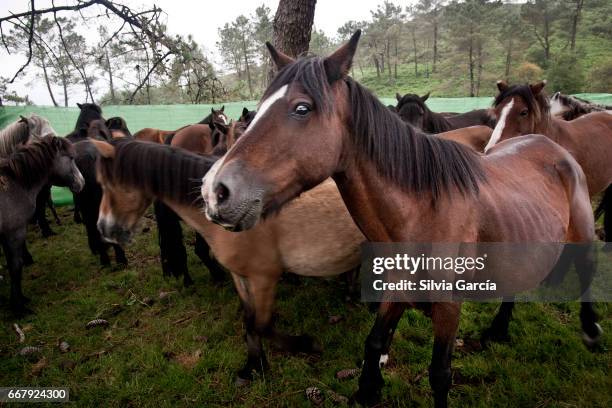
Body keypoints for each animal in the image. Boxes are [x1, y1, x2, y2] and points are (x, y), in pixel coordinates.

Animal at [0, 136, 83, 316]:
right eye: (71, 157)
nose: (82, 182)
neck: (15, 185)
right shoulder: (14, 233)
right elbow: (15, 267)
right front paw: (19, 307)